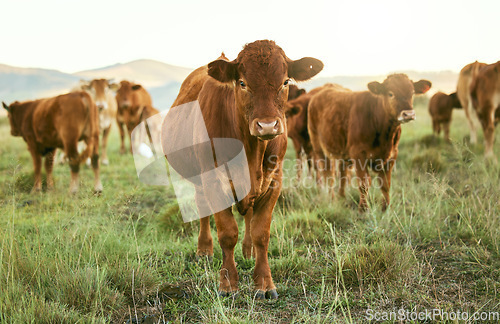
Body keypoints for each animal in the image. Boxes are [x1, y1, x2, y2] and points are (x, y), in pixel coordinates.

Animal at [165, 40, 324, 298]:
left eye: (285, 82)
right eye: (242, 83)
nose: (267, 125)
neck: (250, 153)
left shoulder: (274, 181)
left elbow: (261, 232)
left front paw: (265, 283)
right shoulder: (213, 181)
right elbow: (227, 233)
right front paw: (228, 283)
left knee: (248, 215)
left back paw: (247, 251)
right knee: (202, 207)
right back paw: (204, 250)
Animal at [306, 74, 432, 210]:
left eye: (412, 92)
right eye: (390, 93)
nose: (408, 114)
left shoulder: (392, 155)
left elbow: (385, 184)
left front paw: (385, 207)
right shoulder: (358, 154)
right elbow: (364, 184)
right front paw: (363, 209)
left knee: (342, 173)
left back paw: (342, 197)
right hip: (319, 148)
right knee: (328, 175)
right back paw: (332, 199)